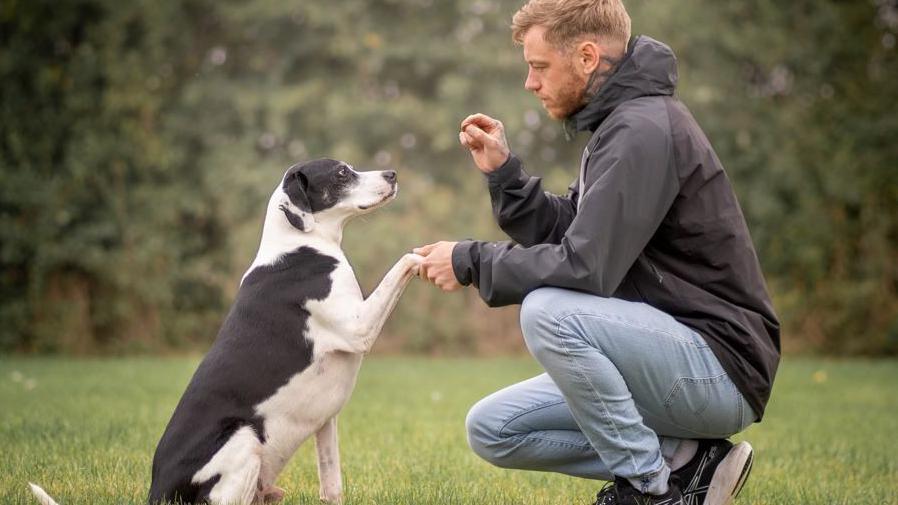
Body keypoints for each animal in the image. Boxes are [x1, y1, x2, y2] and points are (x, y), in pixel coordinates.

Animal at [28, 158, 420, 504]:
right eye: (341, 173)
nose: (392, 173)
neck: (300, 246)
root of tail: (157, 492)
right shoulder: (359, 326)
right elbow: (407, 259)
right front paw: (426, 255)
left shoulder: (325, 423)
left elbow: (332, 487)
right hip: (242, 436)